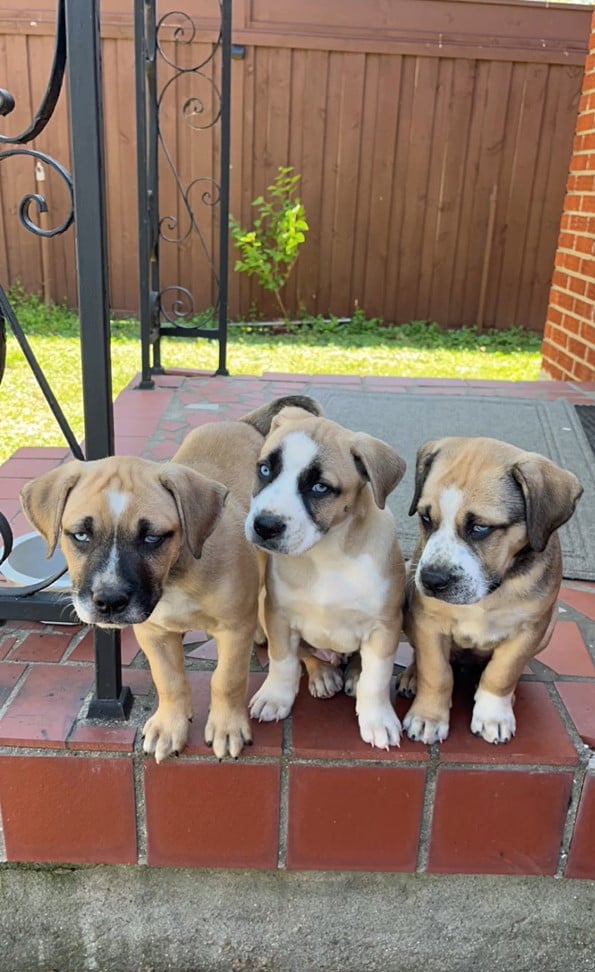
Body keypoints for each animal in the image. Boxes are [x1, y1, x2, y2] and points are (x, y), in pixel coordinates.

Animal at [19, 392, 322, 760]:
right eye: (80, 535)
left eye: (152, 537)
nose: (109, 602)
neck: (176, 577)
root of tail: (243, 423)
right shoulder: (153, 633)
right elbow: (169, 679)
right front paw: (170, 726)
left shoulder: (233, 630)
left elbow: (227, 679)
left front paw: (227, 728)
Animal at [243, 402, 410, 752]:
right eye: (264, 470)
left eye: (320, 488)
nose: (265, 526)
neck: (327, 553)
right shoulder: (278, 615)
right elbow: (283, 660)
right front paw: (275, 697)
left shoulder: (385, 626)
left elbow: (377, 678)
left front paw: (377, 719)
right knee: (307, 655)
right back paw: (322, 674)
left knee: (360, 664)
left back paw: (353, 675)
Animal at [400, 436, 584, 748]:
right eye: (425, 518)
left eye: (480, 527)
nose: (431, 579)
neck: (491, 591)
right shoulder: (429, 622)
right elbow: (436, 672)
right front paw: (428, 717)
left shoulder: (530, 628)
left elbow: (502, 673)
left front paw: (493, 716)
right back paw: (412, 675)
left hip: (550, 628)